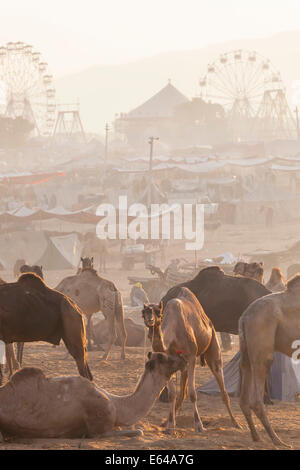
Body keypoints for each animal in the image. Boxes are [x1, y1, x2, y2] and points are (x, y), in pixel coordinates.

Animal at [142, 288, 240, 436]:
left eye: (159, 312)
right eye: (144, 313)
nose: (150, 320)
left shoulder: (191, 356)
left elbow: (193, 394)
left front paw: (199, 425)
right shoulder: (168, 361)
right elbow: (172, 394)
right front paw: (170, 426)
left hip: (213, 346)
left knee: (222, 386)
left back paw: (235, 423)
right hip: (184, 366)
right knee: (182, 393)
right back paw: (166, 423)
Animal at [239, 276, 300, 448]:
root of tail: (244, 317)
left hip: (246, 349)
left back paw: (256, 436)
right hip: (262, 341)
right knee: (256, 399)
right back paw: (277, 440)